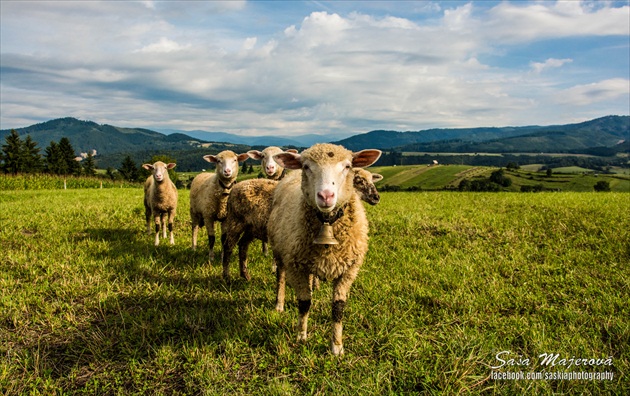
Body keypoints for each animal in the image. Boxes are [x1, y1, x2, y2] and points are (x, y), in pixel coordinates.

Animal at [222, 167, 386, 282]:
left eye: (372, 180)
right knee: (228, 247)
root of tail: (236, 187)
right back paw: (226, 277)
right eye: (358, 180)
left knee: (243, 246)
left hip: (251, 227)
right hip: (235, 222)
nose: (376, 197)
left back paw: (245, 276)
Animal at [266, 143, 380, 356]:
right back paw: (280, 303)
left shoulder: (348, 270)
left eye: (347, 166)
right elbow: (304, 303)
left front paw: (337, 347)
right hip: (280, 251)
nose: (326, 196)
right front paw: (301, 336)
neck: (327, 221)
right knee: (281, 277)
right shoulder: (297, 267)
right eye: (306, 167)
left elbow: (338, 308)